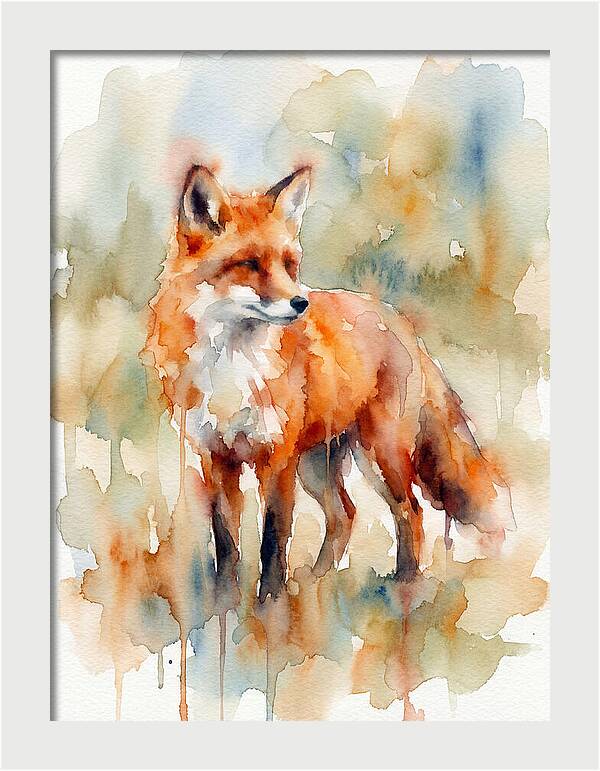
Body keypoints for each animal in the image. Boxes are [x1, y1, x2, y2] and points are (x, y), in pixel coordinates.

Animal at [144, 164, 514, 603]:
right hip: (318, 465)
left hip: (380, 454)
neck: (233, 366)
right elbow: (226, 544)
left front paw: (270, 607)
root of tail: (398, 320)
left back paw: (404, 588)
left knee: (410, 511)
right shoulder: (216, 457)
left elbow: (273, 540)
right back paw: (316, 581)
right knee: (345, 514)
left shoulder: (277, 458)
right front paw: (224, 606)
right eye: (249, 263)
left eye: (290, 265)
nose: (300, 303)